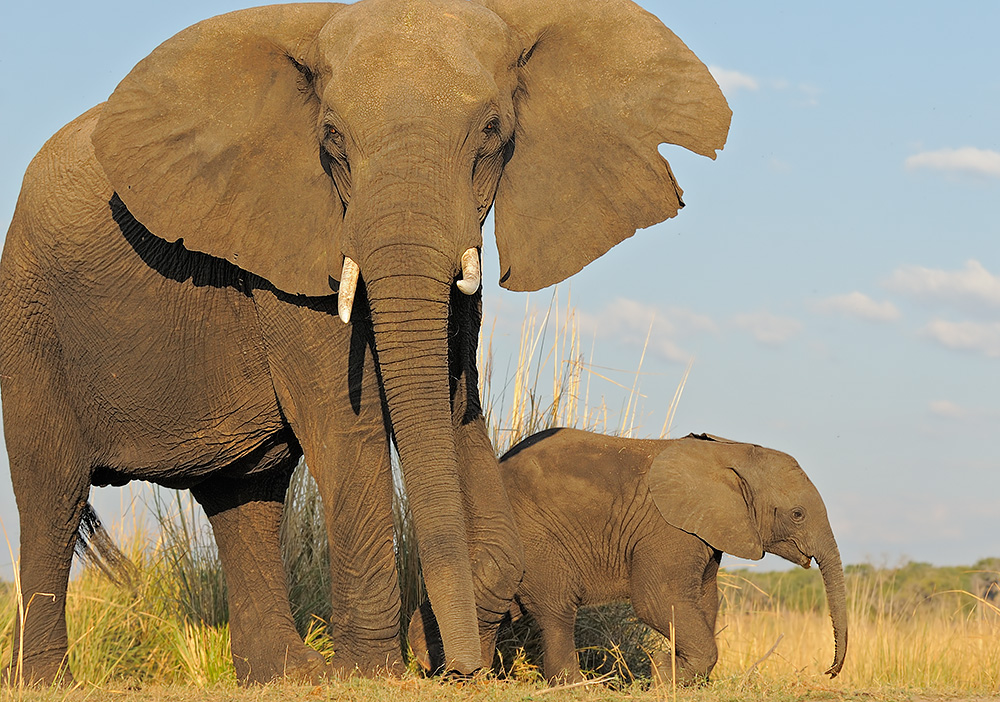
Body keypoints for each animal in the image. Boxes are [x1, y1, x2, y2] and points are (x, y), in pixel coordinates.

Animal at [0, 0, 730, 686]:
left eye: (492, 131)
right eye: (331, 137)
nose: (458, 667)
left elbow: (452, 407)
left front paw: (429, 641)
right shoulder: (294, 247)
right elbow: (349, 424)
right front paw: (375, 671)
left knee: (245, 498)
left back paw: (286, 676)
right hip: (29, 320)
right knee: (52, 495)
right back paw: (52, 682)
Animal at [410, 428, 848, 684]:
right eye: (797, 514)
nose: (828, 671)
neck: (732, 452)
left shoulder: (706, 533)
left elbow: (706, 600)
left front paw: (679, 679)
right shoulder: (667, 529)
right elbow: (657, 601)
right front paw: (663, 678)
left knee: (498, 602)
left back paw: (450, 668)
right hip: (534, 537)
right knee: (555, 608)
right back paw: (573, 685)